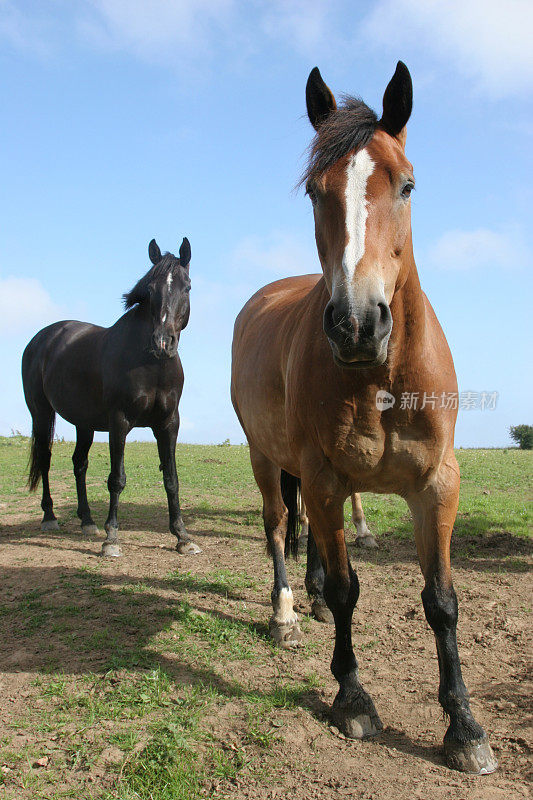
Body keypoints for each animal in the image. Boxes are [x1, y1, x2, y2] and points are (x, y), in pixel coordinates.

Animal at [20, 234, 200, 552]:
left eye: (186, 286)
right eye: (150, 289)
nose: (162, 342)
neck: (151, 365)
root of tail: (41, 338)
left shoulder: (168, 424)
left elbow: (171, 478)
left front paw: (182, 536)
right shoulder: (120, 422)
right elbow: (117, 478)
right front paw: (112, 537)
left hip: (84, 423)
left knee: (79, 463)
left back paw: (87, 521)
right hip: (41, 413)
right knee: (45, 458)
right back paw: (50, 516)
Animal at [231, 62, 496, 776]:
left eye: (406, 185)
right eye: (314, 191)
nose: (356, 324)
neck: (380, 380)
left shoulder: (436, 487)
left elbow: (441, 601)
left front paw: (464, 726)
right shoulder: (324, 479)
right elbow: (351, 588)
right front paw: (351, 699)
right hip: (266, 459)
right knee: (278, 528)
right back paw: (288, 611)